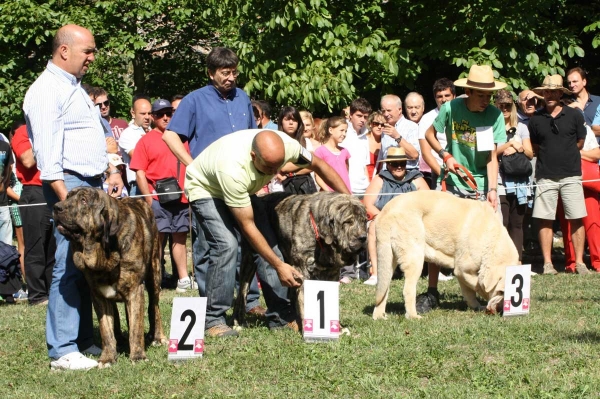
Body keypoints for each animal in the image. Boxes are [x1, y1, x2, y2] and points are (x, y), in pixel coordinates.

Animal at [53, 186, 168, 368]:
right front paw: (108, 358)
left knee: (153, 306)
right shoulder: (98, 295)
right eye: (67, 197)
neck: (103, 251)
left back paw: (157, 337)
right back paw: (120, 340)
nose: (56, 207)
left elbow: (136, 326)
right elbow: (106, 329)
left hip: (154, 274)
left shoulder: (135, 290)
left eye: (83, 201)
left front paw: (137, 356)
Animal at [233, 192, 366, 330]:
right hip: (250, 258)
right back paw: (239, 321)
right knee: (242, 292)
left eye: (364, 221)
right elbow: (304, 301)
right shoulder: (302, 271)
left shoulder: (332, 273)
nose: (363, 238)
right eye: (348, 222)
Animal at [372, 191, 516, 322]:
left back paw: (379, 316)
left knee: (383, 290)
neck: (492, 242)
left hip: (388, 261)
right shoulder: (463, 269)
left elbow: (469, 292)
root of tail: (385, 211)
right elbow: (477, 286)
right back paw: (413, 316)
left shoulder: (462, 273)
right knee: (408, 290)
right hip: (415, 259)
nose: (501, 309)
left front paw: (476, 306)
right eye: (502, 292)